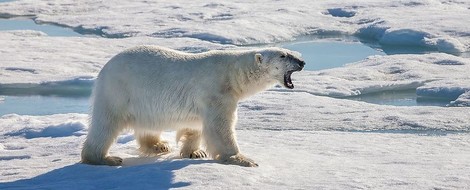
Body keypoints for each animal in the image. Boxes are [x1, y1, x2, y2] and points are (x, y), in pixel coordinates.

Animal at [81, 45, 304, 167]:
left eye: (291, 52)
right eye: (283, 55)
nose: (302, 61)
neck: (233, 74)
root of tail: (105, 68)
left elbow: (196, 124)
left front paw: (195, 152)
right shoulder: (216, 91)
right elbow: (220, 127)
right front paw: (242, 159)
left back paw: (158, 145)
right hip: (119, 91)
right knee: (106, 124)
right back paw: (105, 158)